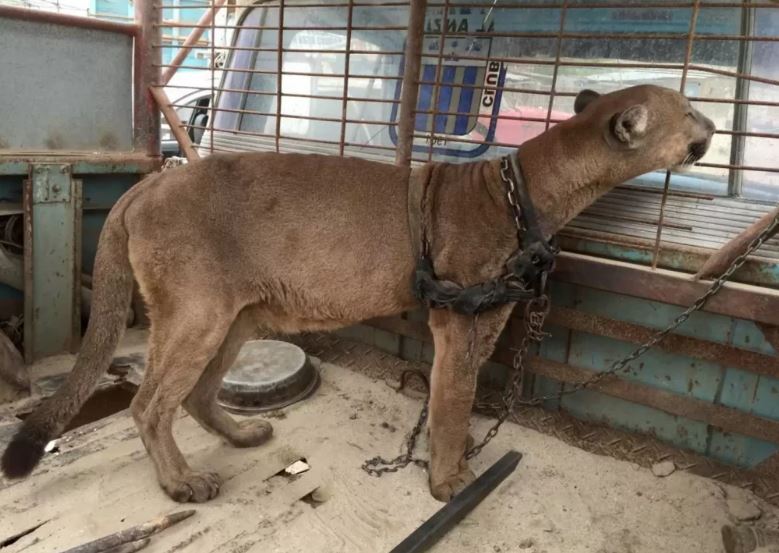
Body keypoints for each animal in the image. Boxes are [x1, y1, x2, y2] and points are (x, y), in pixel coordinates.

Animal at [1, 85, 715, 503]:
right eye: (690, 110)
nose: (712, 126)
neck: (529, 189)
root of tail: (147, 183)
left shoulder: (482, 323)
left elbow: (455, 399)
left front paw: (450, 461)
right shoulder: (460, 324)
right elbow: (451, 403)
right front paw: (450, 481)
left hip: (237, 316)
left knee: (198, 395)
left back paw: (242, 436)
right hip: (198, 314)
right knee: (149, 404)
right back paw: (183, 482)